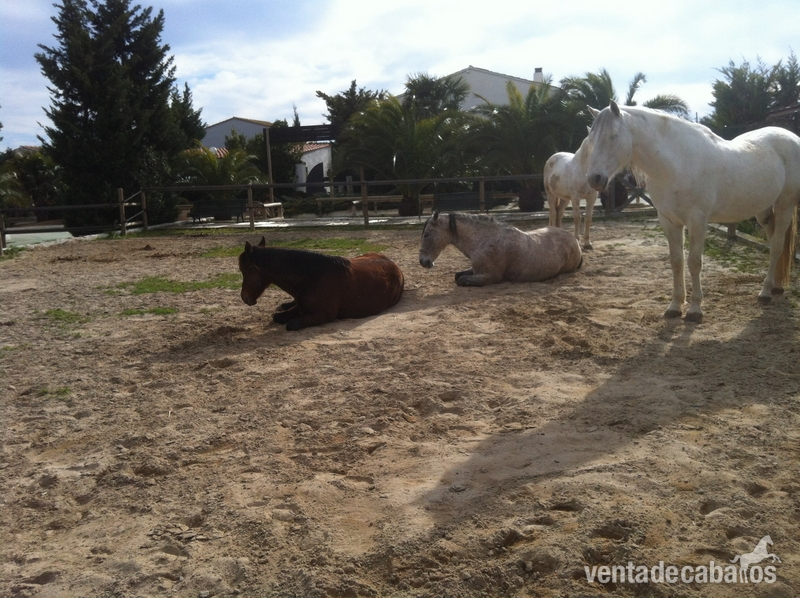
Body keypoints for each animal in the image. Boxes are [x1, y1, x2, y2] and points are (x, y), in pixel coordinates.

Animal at [238, 237, 404, 330]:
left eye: (244, 271)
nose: (244, 298)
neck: (313, 278)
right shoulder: (301, 307)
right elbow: (278, 317)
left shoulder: (322, 315)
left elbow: (290, 324)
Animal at [418, 211, 582, 286]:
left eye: (427, 234)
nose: (423, 262)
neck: (484, 240)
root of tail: (575, 240)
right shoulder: (476, 270)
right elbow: (457, 275)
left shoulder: (490, 277)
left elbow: (461, 280)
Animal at [585, 100, 800, 322]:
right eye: (591, 138)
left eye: (613, 135)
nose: (594, 178)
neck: (677, 165)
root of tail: (792, 137)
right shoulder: (669, 221)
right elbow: (676, 261)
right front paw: (675, 306)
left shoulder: (697, 221)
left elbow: (694, 262)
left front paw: (695, 309)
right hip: (764, 211)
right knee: (775, 241)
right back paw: (776, 286)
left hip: (785, 205)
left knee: (776, 245)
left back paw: (765, 292)